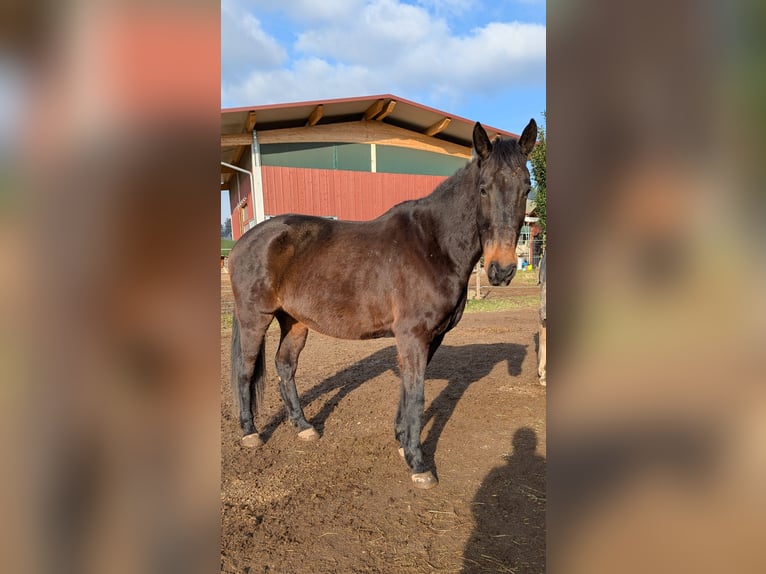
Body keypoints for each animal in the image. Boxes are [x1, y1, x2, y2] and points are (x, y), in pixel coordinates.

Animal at [228, 119, 537, 489]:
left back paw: (303, 427)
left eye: (526, 188)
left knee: (285, 366)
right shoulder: (412, 336)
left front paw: (402, 441)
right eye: (483, 189)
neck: (432, 244)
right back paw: (250, 433)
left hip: (294, 321)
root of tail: (244, 241)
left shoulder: (430, 338)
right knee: (245, 371)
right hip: (254, 318)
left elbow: (408, 391)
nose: (501, 270)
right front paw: (418, 463)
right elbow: (416, 394)